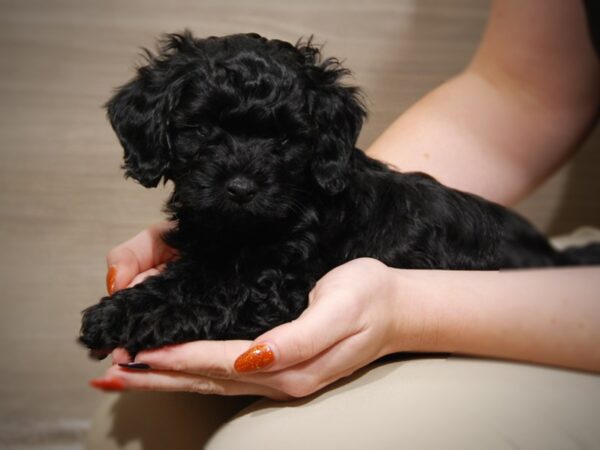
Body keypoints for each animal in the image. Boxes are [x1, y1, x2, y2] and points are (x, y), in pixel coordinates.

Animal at [81, 31, 600, 358]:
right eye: (203, 129)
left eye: (285, 140)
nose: (242, 188)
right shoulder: (209, 254)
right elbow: (185, 278)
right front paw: (121, 308)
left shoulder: (280, 292)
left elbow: (219, 296)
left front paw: (141, 321)